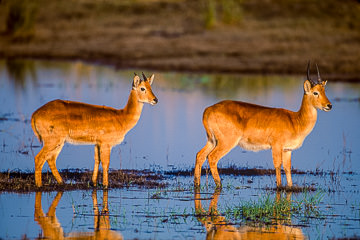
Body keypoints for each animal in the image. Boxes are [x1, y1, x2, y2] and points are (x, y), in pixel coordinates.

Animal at [195, 62, 334, 189]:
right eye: (315, 92)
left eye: (324, 90)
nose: (329, 105)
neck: (295, 120)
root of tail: (208, 109)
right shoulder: (276, 146)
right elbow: (278, 165)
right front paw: (279, 187)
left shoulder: (287, 150)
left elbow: (287, 168)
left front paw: (289, 187)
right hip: (226, 142)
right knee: (212, 157)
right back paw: (219, 185)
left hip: (212, 140)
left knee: (200, 155)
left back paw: (197, 185)